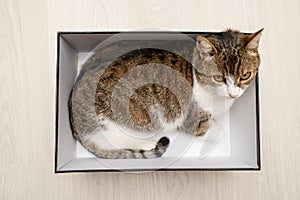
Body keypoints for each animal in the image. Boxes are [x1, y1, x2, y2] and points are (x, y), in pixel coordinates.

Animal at [68, 28, 262, 159]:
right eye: (218, 78)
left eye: (245, 75)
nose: (233, 94)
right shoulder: (193, 122)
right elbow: (212, 131)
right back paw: (147, 143)